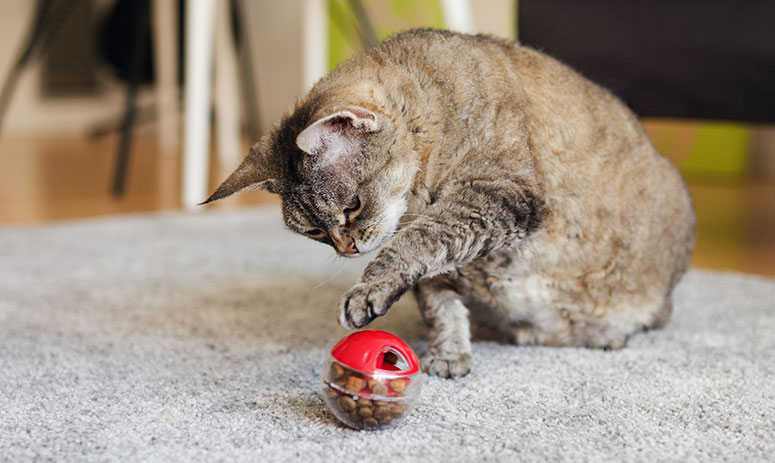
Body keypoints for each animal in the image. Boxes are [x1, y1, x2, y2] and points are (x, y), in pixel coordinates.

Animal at [202, 29, 696, 378]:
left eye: (352, 206)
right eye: (315, 232)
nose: (347, 248)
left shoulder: (498, 194)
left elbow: (415, 244)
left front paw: (367, 290)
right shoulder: (444, 264)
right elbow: (439, 304)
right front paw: (449, 354)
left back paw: (608, 334)